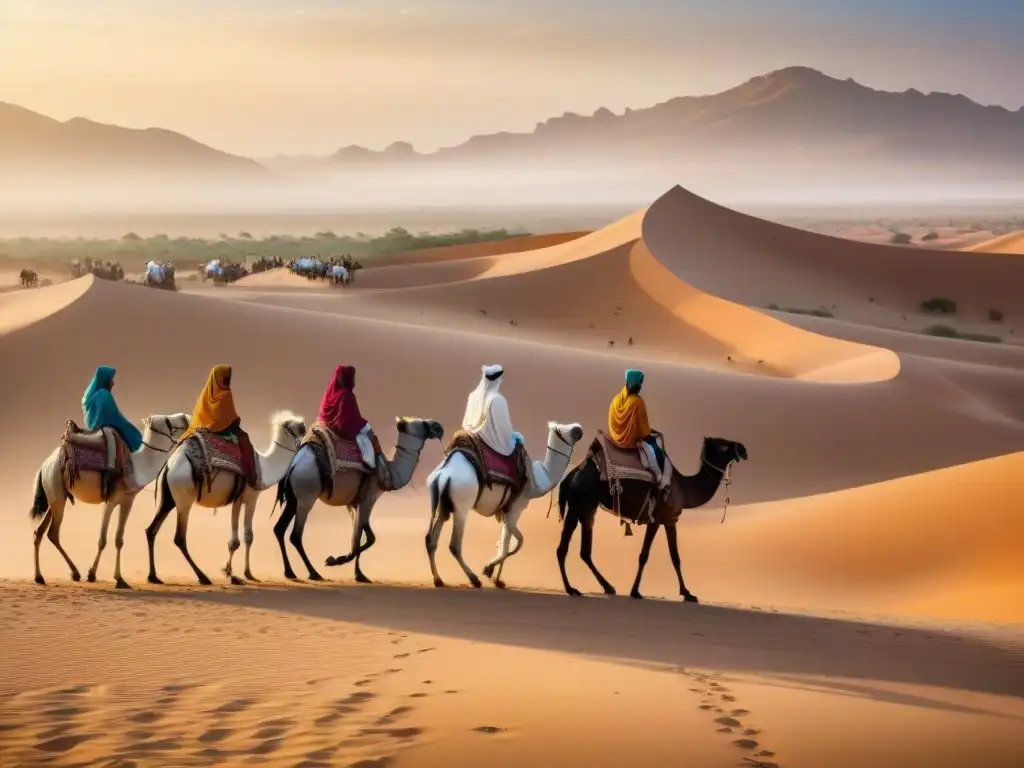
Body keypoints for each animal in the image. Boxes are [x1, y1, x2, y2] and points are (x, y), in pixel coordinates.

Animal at [29, 415, 192, 589]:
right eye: (167, 421)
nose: (185, 417)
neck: (137, 467)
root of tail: (44, 466)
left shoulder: (128, 501)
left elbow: (119, 539)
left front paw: (119, 578)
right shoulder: (110, 501)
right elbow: (102, 540)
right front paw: (93, 575)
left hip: (56, 495)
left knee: (40, 531)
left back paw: (42, 576)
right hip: (56, 490)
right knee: (53, 532)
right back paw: (68, 573)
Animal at [144, 411, 305, 585]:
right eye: (301, 428)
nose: (303, 443)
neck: (263, 467)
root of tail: (169, 466)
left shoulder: (241, 499)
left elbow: (244, 538)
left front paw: (243, 573)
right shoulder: (248, 498)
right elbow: (241, 539)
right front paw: (235, 574)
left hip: (169, 498)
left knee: (151, 530)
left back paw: (153, 576)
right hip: (183, 498)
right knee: (179, 538)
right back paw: (202, 577)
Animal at [423, 423, 585, 593]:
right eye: (567, 430)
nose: (578, 428)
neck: (538, 478)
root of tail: (442, 475)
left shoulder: (507, 510)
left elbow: (510, 542)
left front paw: (497, 579)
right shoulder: (517, 505)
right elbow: (513, 543)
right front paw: (489, 570)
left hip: (441, 504)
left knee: (431, 540)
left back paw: (438, 580)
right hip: (462, 507)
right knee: (454, 545)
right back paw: (474, 579)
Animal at [557, 436, 749, 606]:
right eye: (724, 445)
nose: (743, 449)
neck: (685, 489)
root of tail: (570, 476)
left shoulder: (667, 520)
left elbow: (672, 556)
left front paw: (685, 593)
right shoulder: (661, 519)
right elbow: (652, 555)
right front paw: (639, 591)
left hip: (575, 507)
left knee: (565, 548)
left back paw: (574, 588)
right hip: (586, 504)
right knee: (583, 550)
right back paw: (602, 587)